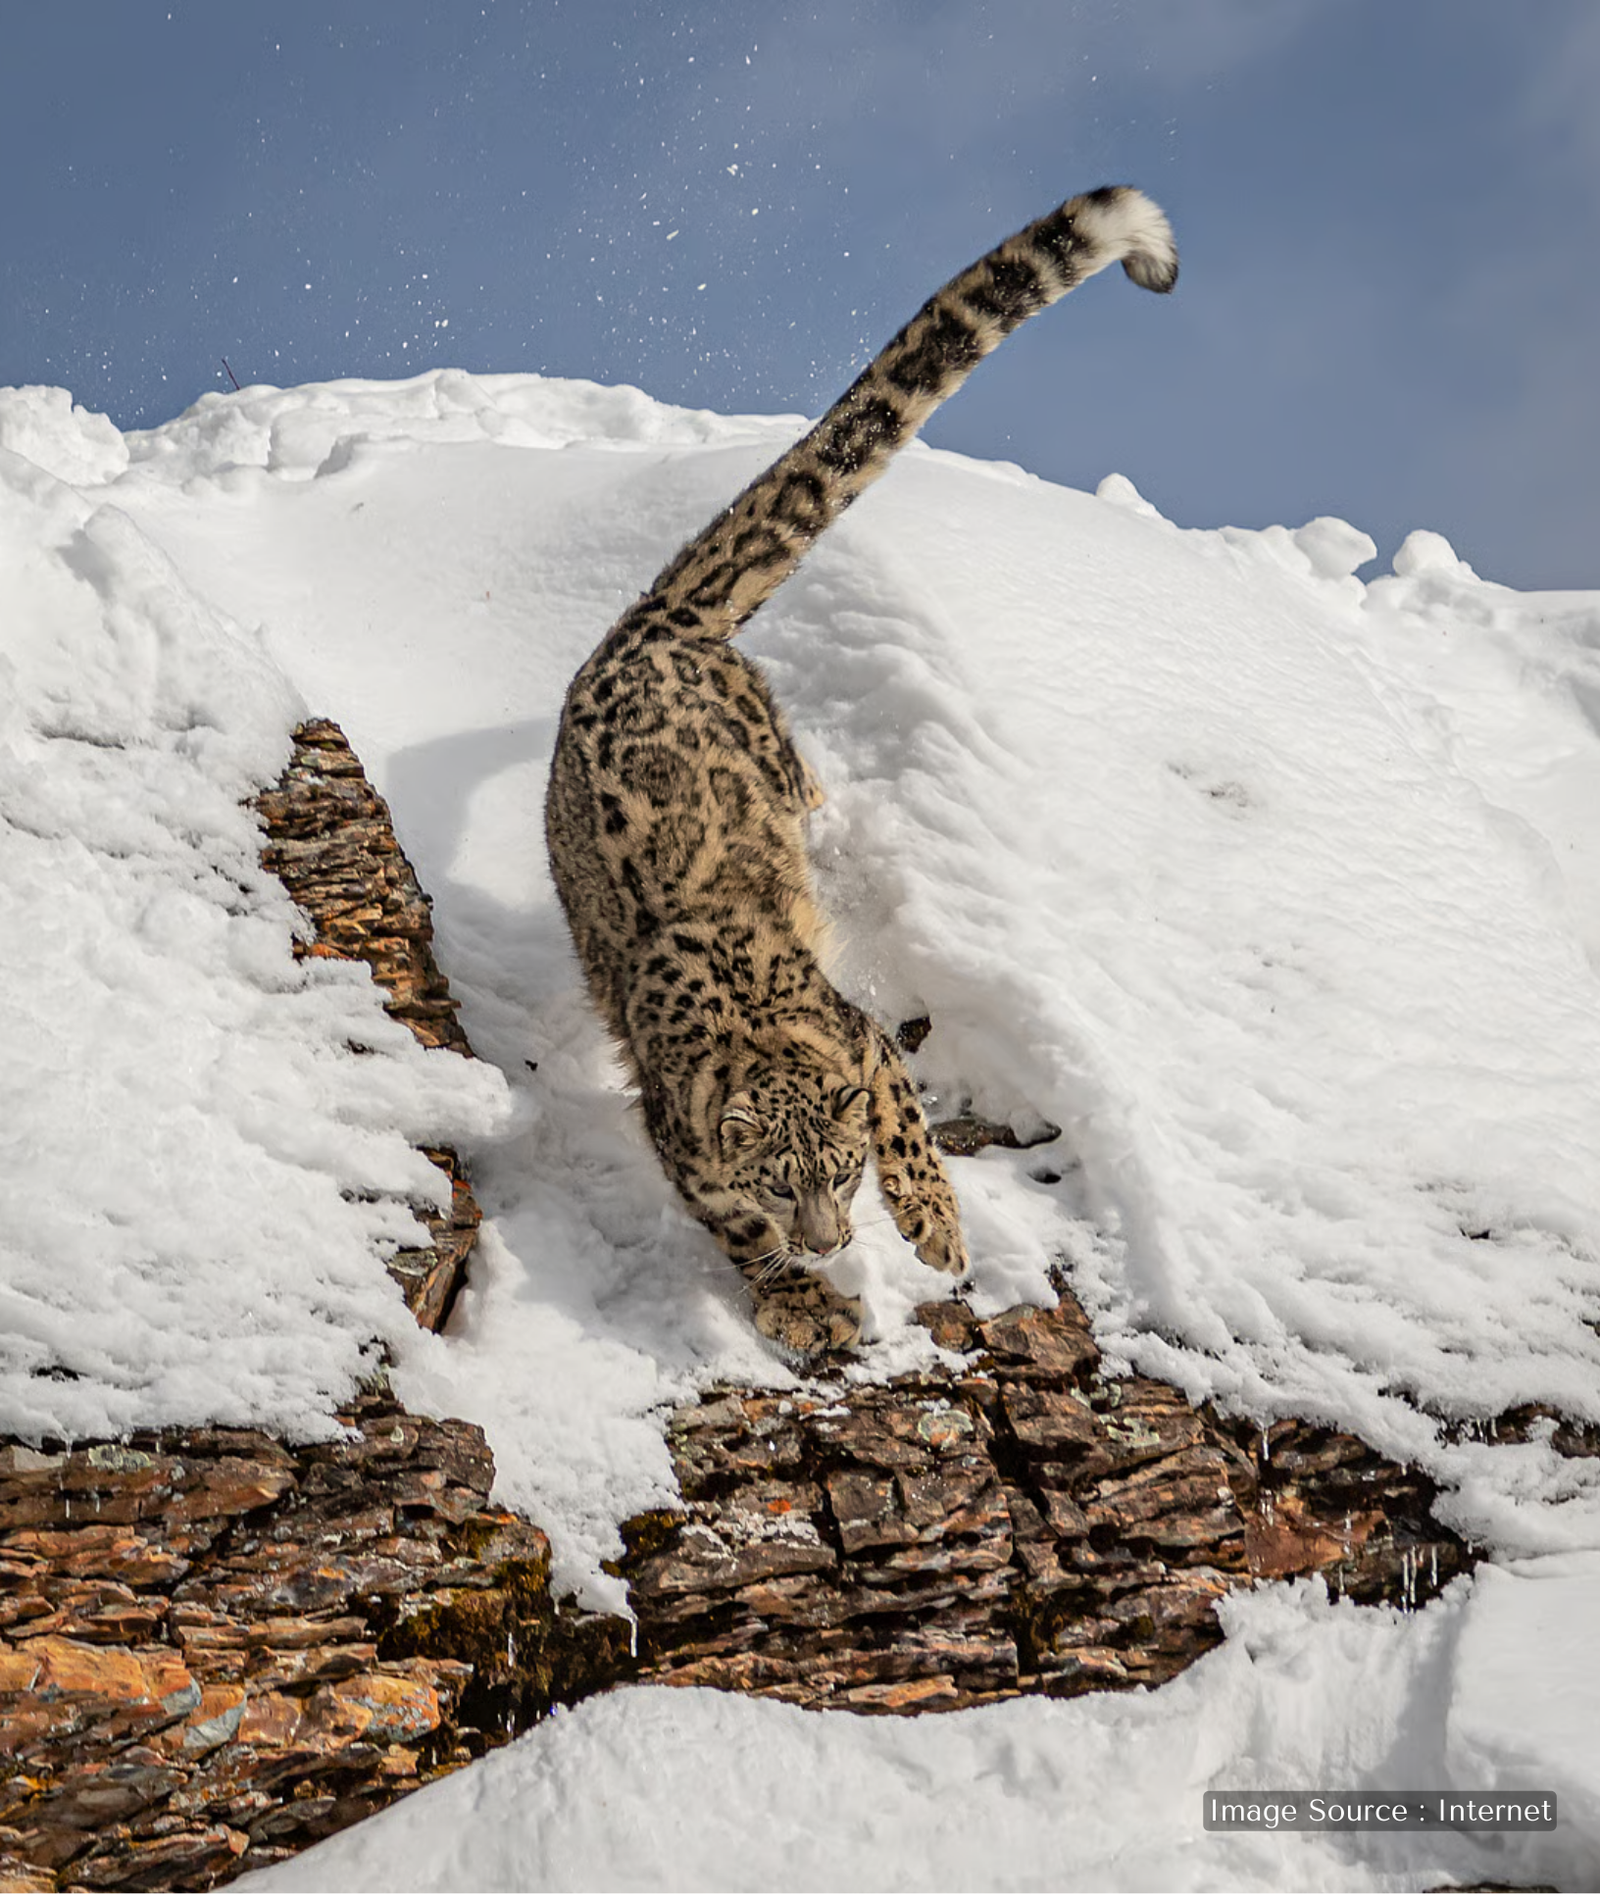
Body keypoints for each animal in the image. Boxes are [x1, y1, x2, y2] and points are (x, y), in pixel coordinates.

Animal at [546, 184, 1178, 1355]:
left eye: (839, 1172)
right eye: (777, 1179)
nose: (832, 1234)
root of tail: (649, 629)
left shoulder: (865, 1042)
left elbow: (902, 1109)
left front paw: (931, 1222)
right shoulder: (683, 1148)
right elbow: (731, 1232)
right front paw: (798, 1298)